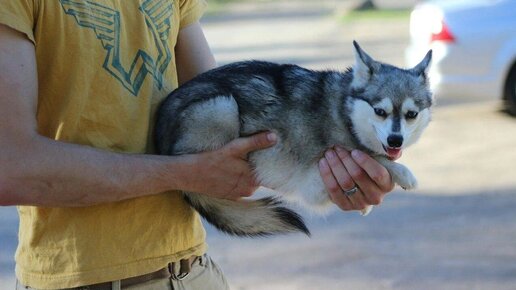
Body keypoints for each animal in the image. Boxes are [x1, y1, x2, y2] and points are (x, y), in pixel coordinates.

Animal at [155, 42, 434, 237]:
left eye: (411, 114)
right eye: (380, 111)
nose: (396, 140)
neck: (345, 110)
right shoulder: (315, 178)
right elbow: (374, 158)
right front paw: (402, 172)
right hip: (222, 107)